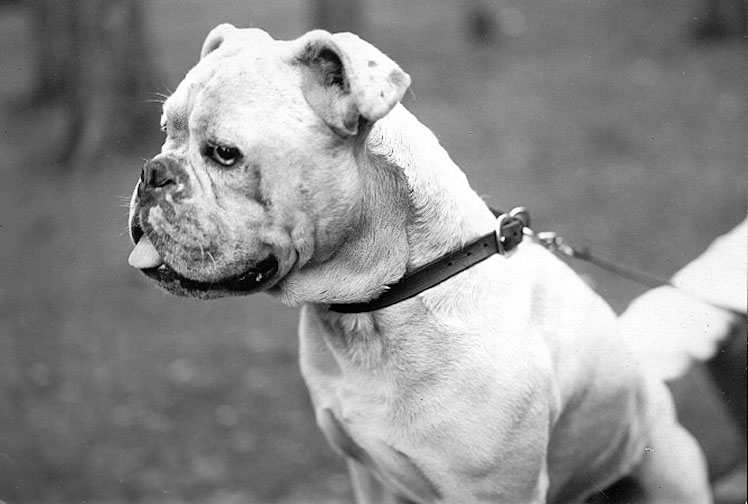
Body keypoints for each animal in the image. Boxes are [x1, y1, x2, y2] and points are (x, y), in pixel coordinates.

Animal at [127, 24, 712, 503]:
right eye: (166, 130)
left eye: (225, 154)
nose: (151, 171)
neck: (377, 304)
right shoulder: (369, 475)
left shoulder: (497, 492)